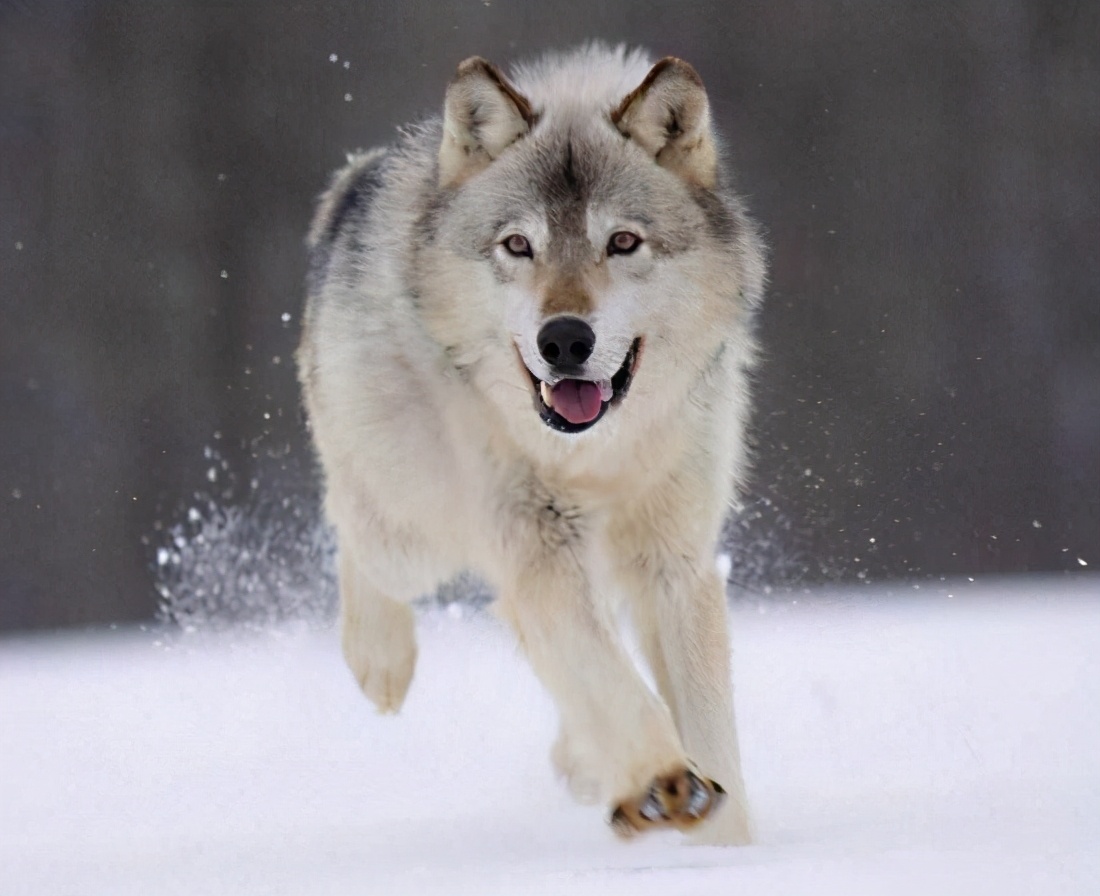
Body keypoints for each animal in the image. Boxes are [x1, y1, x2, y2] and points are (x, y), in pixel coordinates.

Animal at [297, 43, 770, 848]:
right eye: (518, 245)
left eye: (623, 242)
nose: (565, 340)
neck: (595, 456)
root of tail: (355, 182)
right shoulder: (538, 550)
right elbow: (612, 681)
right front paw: (664, 781)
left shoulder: (674, 562)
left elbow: (705, 726)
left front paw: (724, 842)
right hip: (412, 528)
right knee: (353, 531)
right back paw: (379, 663)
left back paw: (586, 766)